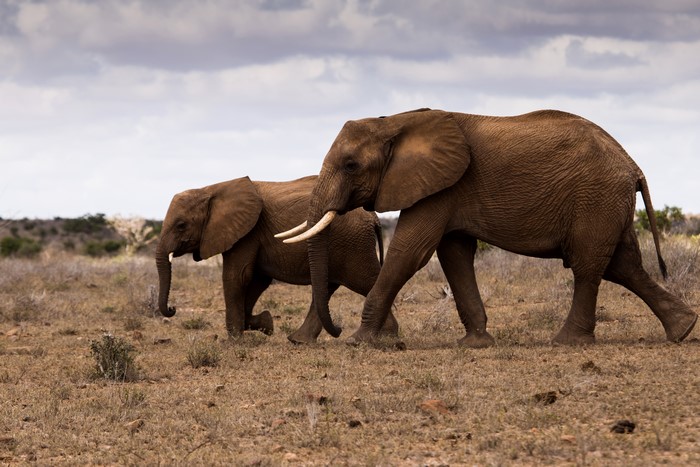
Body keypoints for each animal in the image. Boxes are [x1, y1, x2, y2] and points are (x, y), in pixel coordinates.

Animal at [155, 175, 399, 343]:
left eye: (181, 225)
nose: (173, 308)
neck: (211, 189)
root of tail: (374, 218)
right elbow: (256, 280)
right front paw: (266, 324)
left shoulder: (248, 232)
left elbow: (238, 276)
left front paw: (234, 340)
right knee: (327, 288)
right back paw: (299, 341)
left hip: (353, 246)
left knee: (366, 281)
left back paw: (386, 337)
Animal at [279, 108, 698, 347]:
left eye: (351, 165)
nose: (335, 332)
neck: (395, 121)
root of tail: (633, 164)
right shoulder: (446, 188)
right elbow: (454, 255)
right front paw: (476, 343)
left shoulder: (442, 186)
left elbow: (410, 252)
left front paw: (359, 342)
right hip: (608, 203)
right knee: (624, 266)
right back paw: (683, 330)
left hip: (596, 199)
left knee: (589, 266)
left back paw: (567, 342)